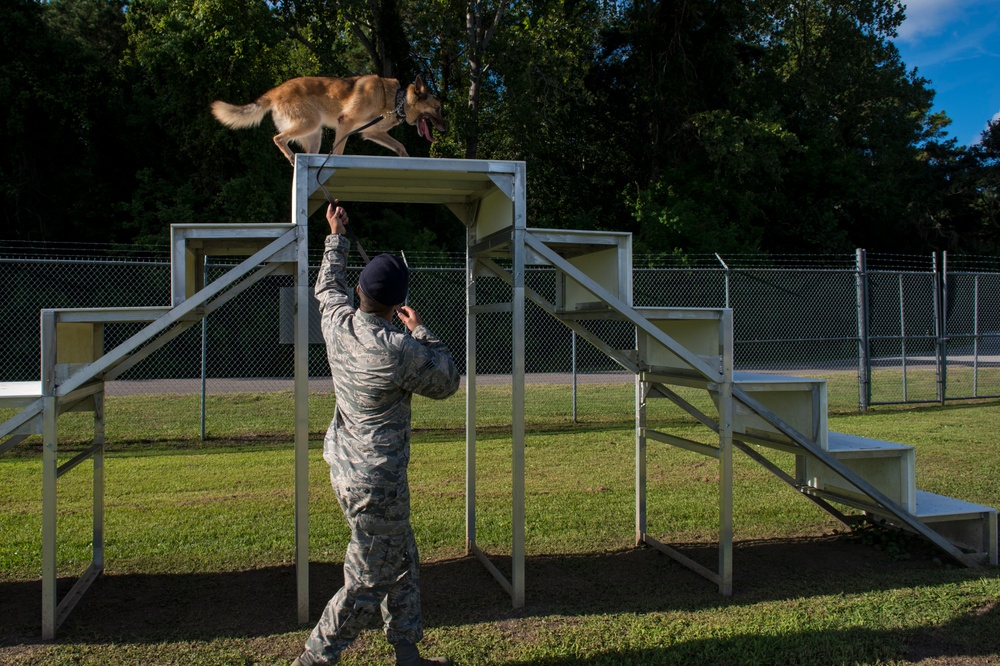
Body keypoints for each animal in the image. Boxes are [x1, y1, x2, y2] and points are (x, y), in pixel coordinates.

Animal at [210, 74, 446, 163]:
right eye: (437, 108)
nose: (444, 129)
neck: (395, 98)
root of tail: (275, 91)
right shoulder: (346, 123)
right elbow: (338, 152)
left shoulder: (371, 132)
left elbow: (400, 146)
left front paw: (407, 158)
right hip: (310, 123)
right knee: (278, 138)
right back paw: (291, 158)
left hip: (314, 136)